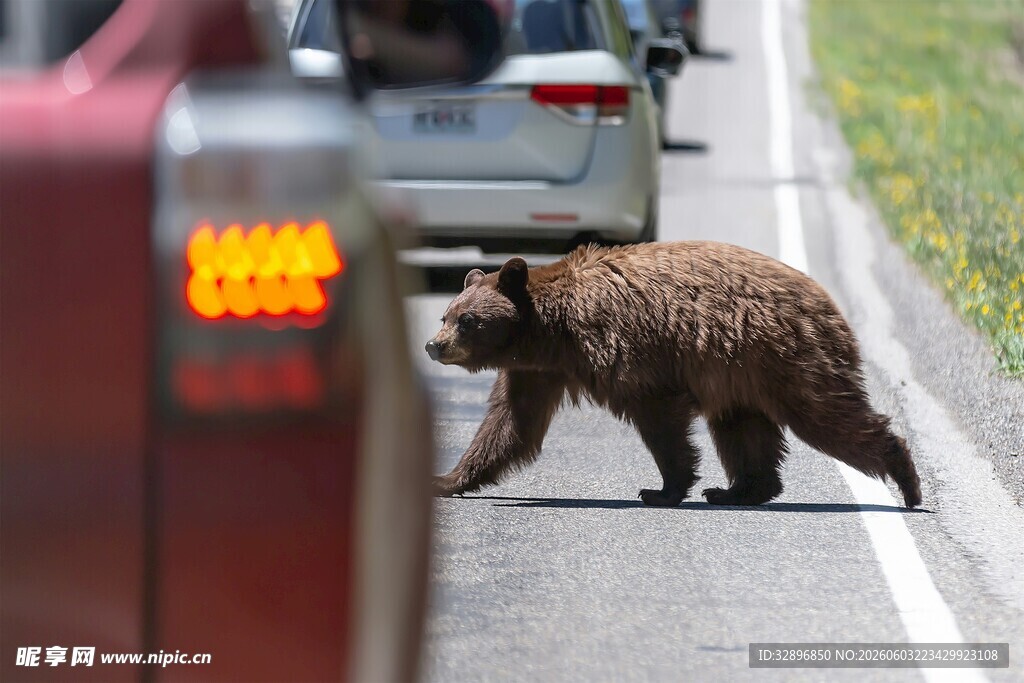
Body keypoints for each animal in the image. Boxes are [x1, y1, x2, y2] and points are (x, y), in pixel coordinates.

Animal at [424, 241, 922, 508]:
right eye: (446, 314)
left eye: (466, 320)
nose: (433, 345)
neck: (552, 331)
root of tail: (827, 302)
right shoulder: (536, 371)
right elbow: (510, 424)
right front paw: (447, 480)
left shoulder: (627, 352)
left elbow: (659, 420)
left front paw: (662, 488)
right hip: (744, 373)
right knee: (744, 428)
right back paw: (737, 490)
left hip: (784, 358)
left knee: (827, 416)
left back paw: (908, 481)